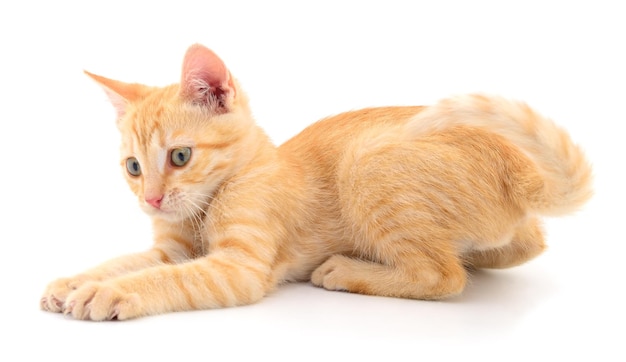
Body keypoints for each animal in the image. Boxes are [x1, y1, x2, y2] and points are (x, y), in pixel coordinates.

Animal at [40, 43, 588, 320]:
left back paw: (346, 270)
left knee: (444, 276)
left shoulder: (238, 268)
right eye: (133, 167)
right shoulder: (169, 248)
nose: (152, 199)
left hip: (366, 165)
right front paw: (75, 280)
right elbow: (125, 261)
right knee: (526, 244)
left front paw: (108, 294)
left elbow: (167, 278)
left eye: (179, 156)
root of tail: (516, 167)